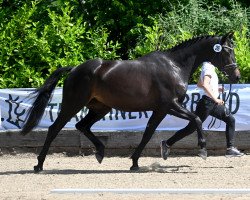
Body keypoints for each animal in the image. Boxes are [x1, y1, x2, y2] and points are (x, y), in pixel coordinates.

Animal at [21, 32, 240, 172]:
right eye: (226, 51)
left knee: (81, 125)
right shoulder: (169, 105)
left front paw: (135, 162)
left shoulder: (161, 109)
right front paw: (202, 149)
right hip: (73, 104)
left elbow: (148, 133)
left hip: (100, 108)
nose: (236, 76)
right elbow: (196, 119)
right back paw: (38, 165)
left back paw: (100, 152)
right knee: (54, 129)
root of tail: (74, 69)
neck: (174, 66)